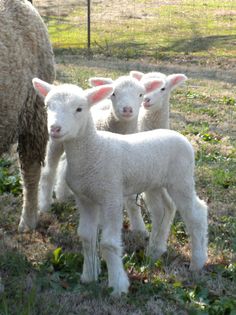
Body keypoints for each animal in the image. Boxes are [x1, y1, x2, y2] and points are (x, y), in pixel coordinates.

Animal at [33, 78, 208, 296]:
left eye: (79, 109)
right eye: (48, 106)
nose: (55, 129)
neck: (94, 150)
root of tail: (181, 136)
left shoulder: (111, 196)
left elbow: (108, 244)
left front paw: (118, 285)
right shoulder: (85, 198)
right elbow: (86, 236)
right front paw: (89, 276)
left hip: (181, 179)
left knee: (196, 213)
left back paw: (197, 261)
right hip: (156, 182)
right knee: (164, 209)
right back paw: (154, 250)